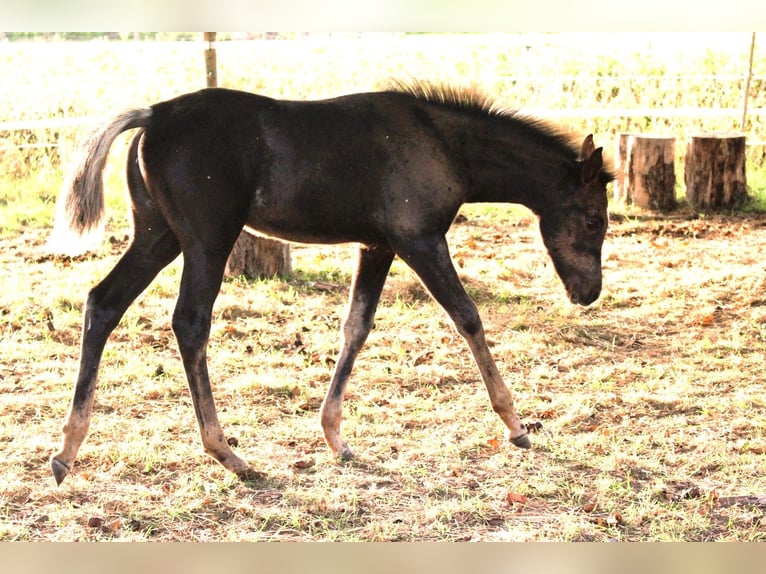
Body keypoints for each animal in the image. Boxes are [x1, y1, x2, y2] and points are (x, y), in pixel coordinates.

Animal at [48, 82, 616, 486]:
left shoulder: (377, 246)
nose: (587, 292)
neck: (442, 143)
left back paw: (67, 450)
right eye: (594, 221)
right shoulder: (419, 239)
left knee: (103, 302)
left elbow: (356, 327)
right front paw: (515, 424)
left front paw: (335, 437)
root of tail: (154, 114)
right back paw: (227, 453)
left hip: (158, 236)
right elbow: (468, 317)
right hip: (208, 239)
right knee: (190, 322)